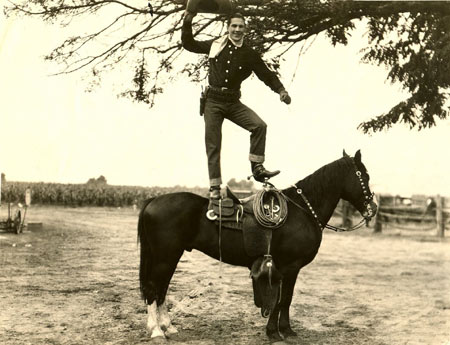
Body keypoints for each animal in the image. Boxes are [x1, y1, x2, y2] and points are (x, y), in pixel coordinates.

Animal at [136, 149, 376, 340]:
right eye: (364, 175)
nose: (372, 207)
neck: (302, 210)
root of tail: (153, 200)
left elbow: (282, 299)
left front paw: (280, 330)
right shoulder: (291, 267)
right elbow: (283, 299)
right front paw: (279, 332)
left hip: (170, 257)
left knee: (162, 289)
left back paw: (168, 327)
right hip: (165, 257)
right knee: (153, 289)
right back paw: (156, 330)